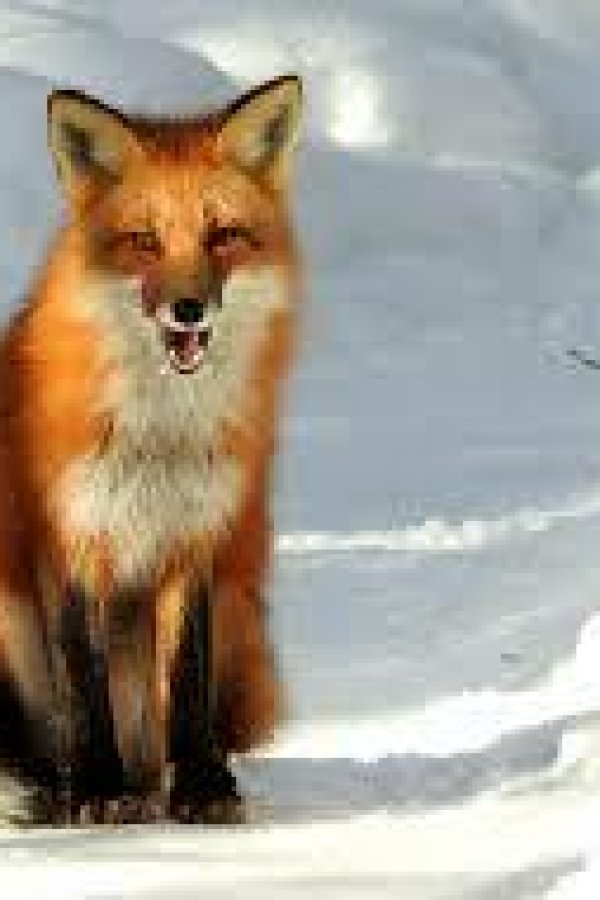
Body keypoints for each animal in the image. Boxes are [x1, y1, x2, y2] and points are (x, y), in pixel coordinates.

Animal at [0, 74, 303, 824]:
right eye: (143, 240)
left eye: (224, 237)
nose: (188, 309)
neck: (157, 434)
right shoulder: (70, 538)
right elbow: (82, 681)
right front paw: (94, 789)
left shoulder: (194, 539)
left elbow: (185, 682)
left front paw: (198, 784)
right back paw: (58, 789)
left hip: (238, 610)